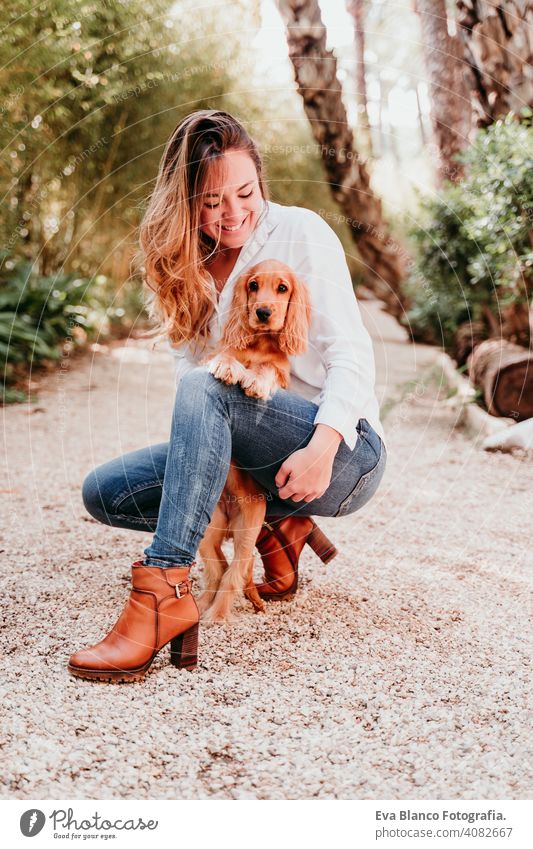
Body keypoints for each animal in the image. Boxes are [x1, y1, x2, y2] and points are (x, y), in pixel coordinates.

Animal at [195, 258, 312, 624]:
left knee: (234, 572)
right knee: (218, 569)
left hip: (248, 530)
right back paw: (200, 608)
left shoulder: (282, 375)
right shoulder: (222, 350)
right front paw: (228, 367)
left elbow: (267, 372)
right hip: (209, 529)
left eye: (282, 288)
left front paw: (256, 382)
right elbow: (224, 357)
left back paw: (217, 616)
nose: (262, 312)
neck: (259, 344)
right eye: (253, 286)